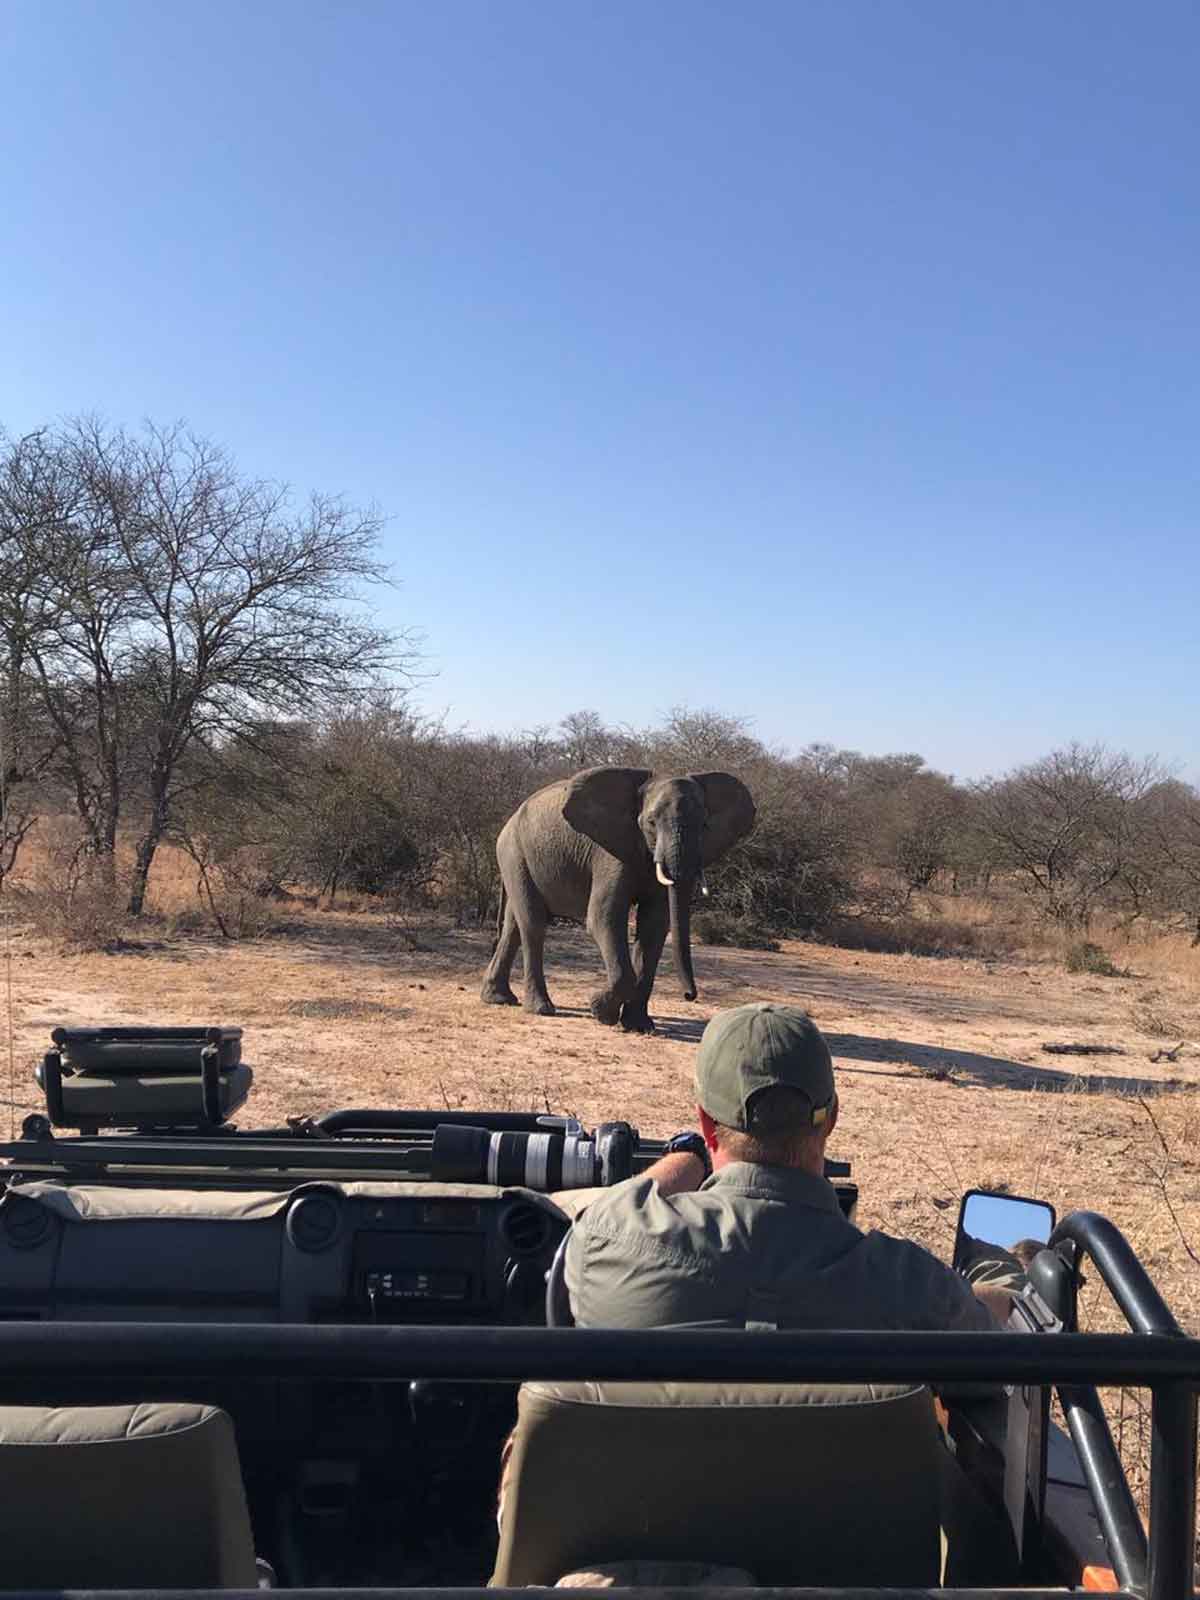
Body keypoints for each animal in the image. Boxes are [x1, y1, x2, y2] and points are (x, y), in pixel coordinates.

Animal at [480, 766, 756, 1032]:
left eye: (704, 826)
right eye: (651, 822)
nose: (689, 995)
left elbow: (654, 927)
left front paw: (638, 1026)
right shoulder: (610, 853)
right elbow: (604, 918)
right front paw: (601, 1012)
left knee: (513, 927)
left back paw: (499, 998)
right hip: (514, 853)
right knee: (533, 924)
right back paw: (540, 1009)